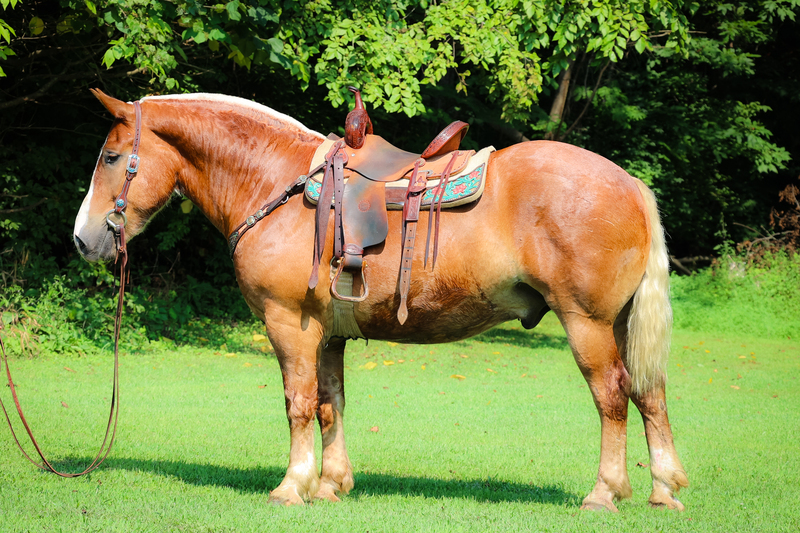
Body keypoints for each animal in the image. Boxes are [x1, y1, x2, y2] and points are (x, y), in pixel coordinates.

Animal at [73, 89, 688, 510]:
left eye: (110, 157)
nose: (84, 239)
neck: (275, 183)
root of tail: (629, 183)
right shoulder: (327, 332)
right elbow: (330, 404)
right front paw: (330, 484)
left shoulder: (287, 323)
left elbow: (298, 403)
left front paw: (292, 485)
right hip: (621, 322)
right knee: (650, 393)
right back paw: (663, 489)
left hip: (587, 322)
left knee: (613, 395)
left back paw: (605, 492)